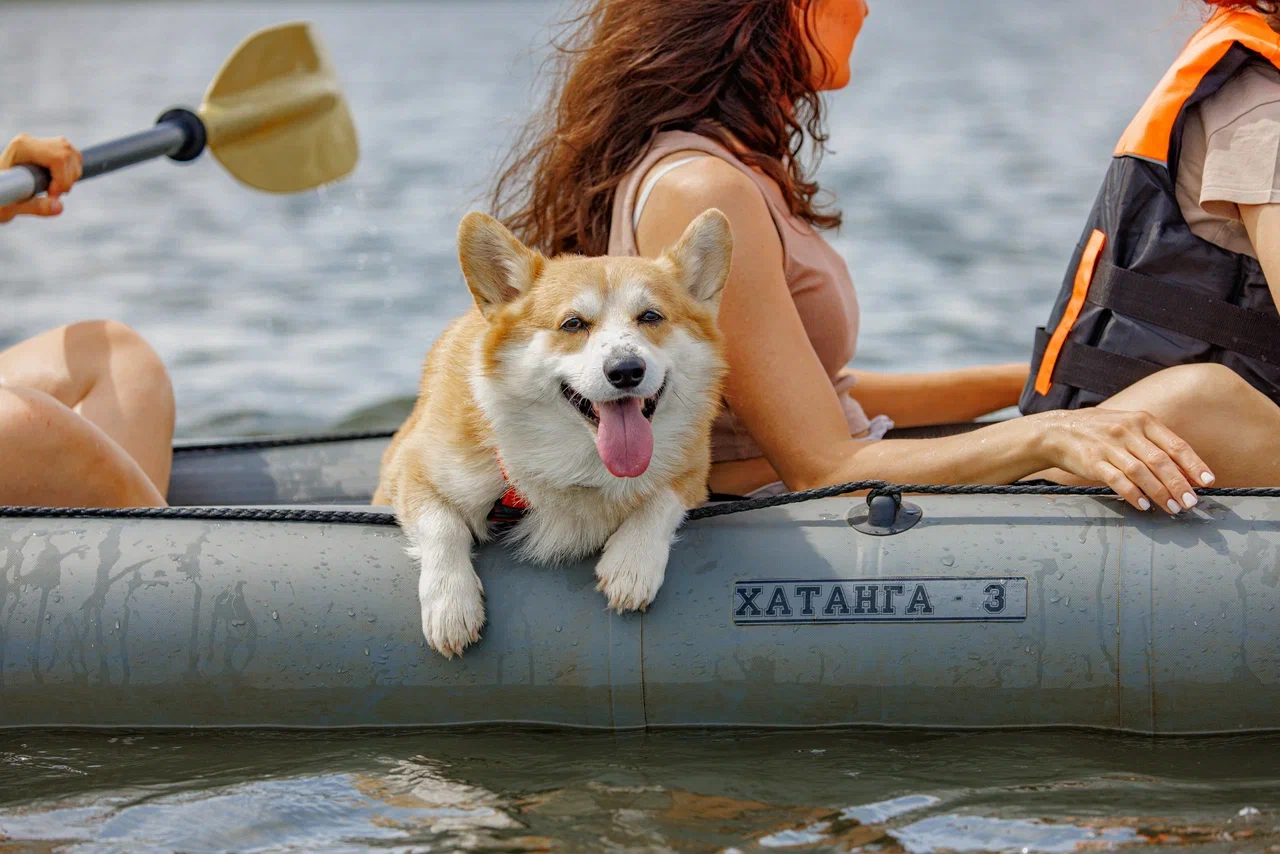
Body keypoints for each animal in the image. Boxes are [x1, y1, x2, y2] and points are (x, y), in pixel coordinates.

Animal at [373, 209, 732, 660]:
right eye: (573, 323)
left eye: (651, 317)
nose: (626, 371)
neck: (579, 465)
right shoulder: (412, 471)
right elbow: (443, 525)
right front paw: (451, 606)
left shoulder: (693, 470)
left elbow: (662, 500)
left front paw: (632, 564)